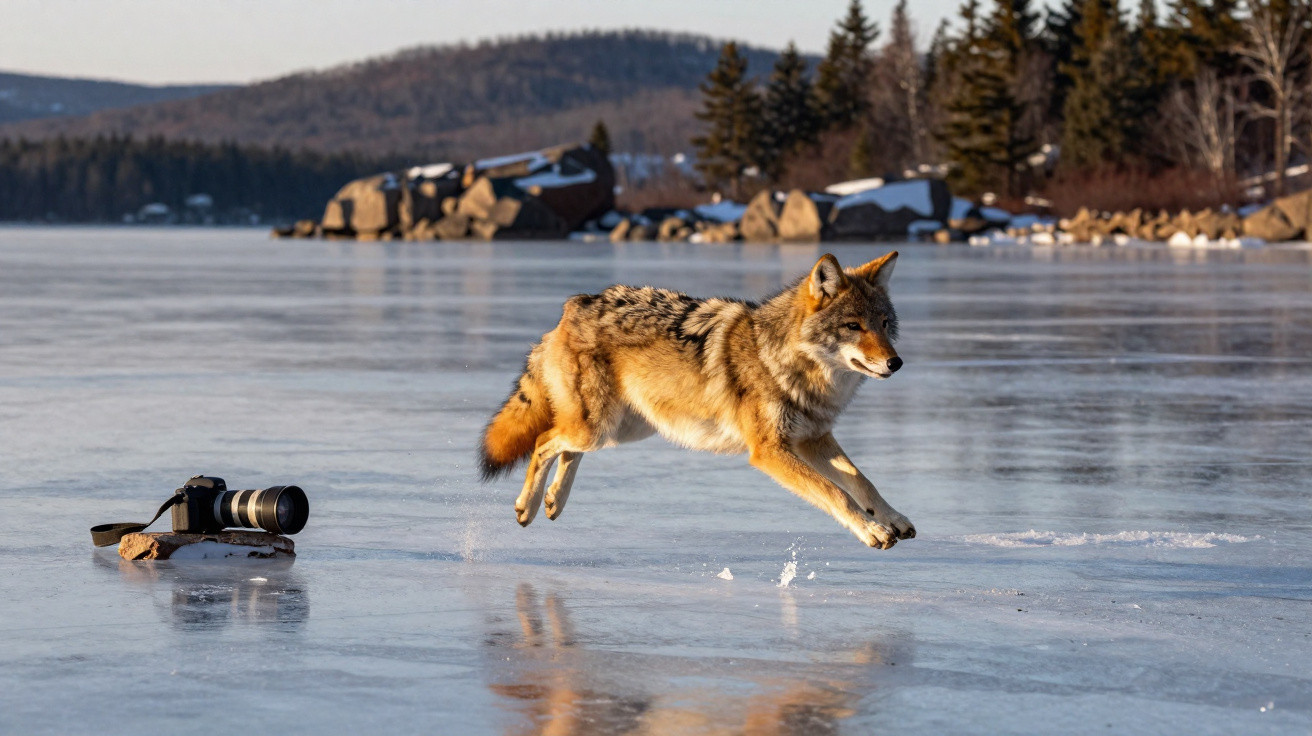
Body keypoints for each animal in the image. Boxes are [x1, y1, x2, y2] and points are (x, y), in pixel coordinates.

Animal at [477, 251, 915, 549]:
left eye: (884, 324)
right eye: (853, 326)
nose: (895, 362)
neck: (784, 362)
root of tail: (574, 305)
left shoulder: (813, 438)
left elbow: (862, 481)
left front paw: (892, 518)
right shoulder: (770, 450)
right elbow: (835, 492)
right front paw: (872, 530)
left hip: (617, 430)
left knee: (565, 448)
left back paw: (553, 502)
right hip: (598, 427)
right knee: (543, 441)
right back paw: (529, 507)